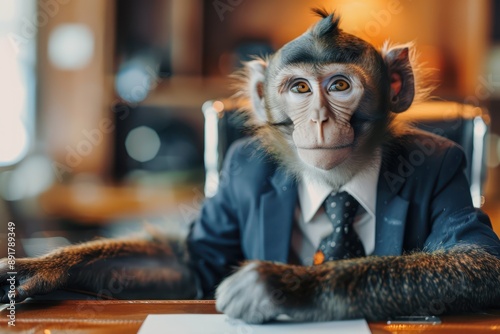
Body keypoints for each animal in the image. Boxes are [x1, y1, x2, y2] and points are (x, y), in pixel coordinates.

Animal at [0, 9, 500, 324]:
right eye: (300, 88)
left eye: (340, 86)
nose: (319, 120)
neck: (335, 185)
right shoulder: (237, 179)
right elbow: (191, 265)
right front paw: (32, 270)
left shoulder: (448, 170)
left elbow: (479, 258)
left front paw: (283, 286)